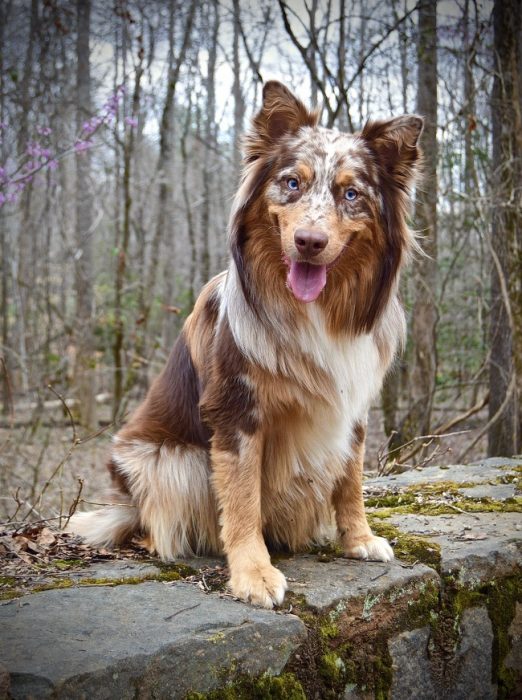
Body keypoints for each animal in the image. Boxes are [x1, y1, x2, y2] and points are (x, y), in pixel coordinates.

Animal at [69, 80, 420, 608]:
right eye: (292, 183)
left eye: (351, 194)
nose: (309, 242)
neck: (314, 310)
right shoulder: (236, 412)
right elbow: (242, 500)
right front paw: (253, 573)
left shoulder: (353, 406)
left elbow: (350, 480)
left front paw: (357, 539)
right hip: (167, 461)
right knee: (153, 517)